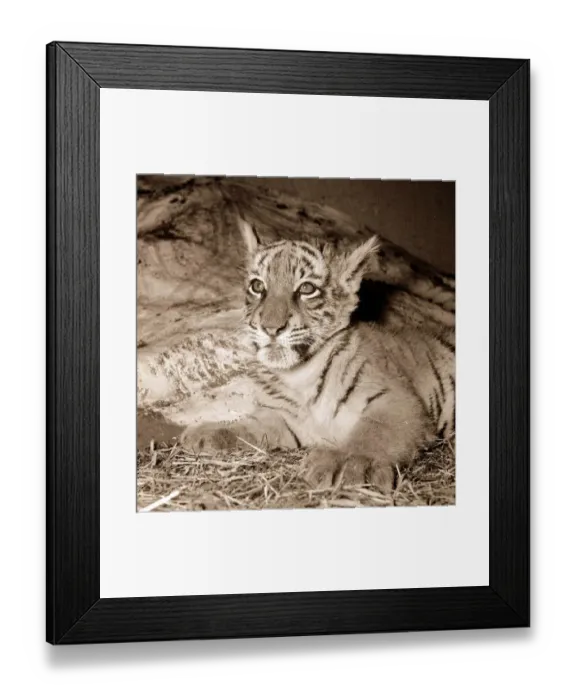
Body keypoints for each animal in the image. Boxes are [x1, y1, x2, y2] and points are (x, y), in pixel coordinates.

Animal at [180, 219, 455, 491]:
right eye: (257, 286)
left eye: (307, 289)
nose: (271, 328)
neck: (299, 377)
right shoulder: (285, 419)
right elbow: (249, 427)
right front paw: (209, 433)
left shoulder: (399, 401)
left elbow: (376, 431)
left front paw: (348, 463)